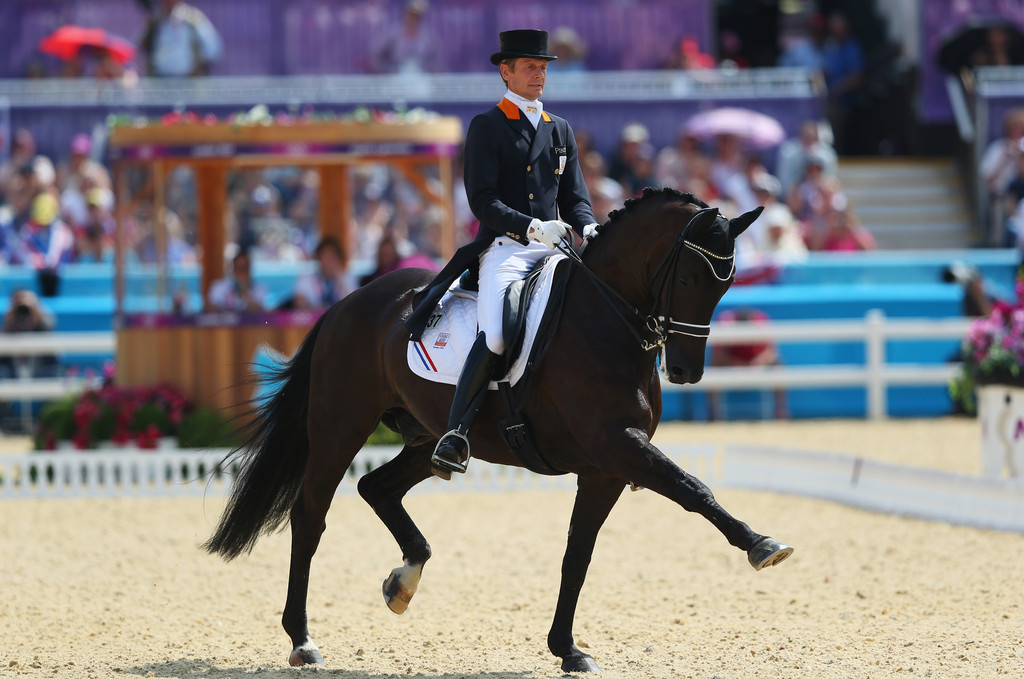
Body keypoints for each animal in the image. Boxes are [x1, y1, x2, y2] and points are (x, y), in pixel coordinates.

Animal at [199, 187, 790, 675]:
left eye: (726, 286)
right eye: (688, 279)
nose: (686, 370)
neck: (606, 320)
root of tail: (349, 303)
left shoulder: (605, 468)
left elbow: (578, 554)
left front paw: (568, 649)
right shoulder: (619, 445)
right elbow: (693, 488)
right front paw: (762, 544)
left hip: (425, 437)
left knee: (377, 486)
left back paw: (402, 581)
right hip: (339, 427)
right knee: (311, 517)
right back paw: (302, 639)